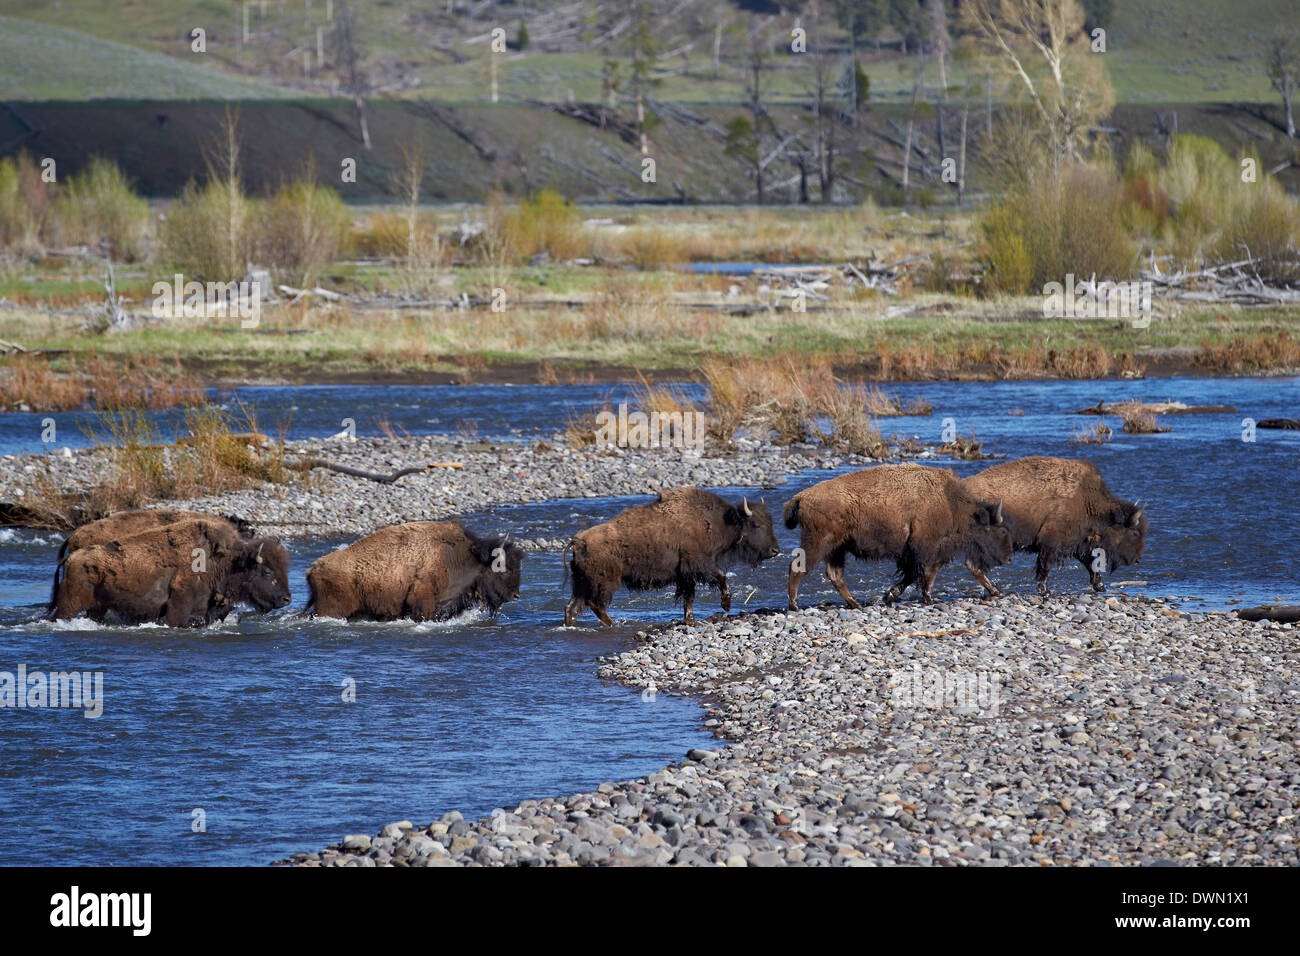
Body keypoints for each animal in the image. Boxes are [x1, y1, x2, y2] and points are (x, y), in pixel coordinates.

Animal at [51, 517, 291, 626]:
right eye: (267, 572)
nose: (287, 599)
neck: (225, 563)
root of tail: (71, 558)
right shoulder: (178, 612)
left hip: (97, 608)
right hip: (69, 606)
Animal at [564, 487, 780, 626]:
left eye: (770, 522)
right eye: (756, 524)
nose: (775, 551)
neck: (718, 521)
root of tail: (579, 541)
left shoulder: (686, 575)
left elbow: (689, 598)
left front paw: (690, 619)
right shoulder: (698, 564)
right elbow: (720, 576)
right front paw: (726, 605)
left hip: (581, 584)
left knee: (572, 607)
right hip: (605, 582)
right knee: (596, 604)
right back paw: (612, 624)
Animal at [784, 464, 1012, 608]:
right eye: (999, 530)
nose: (1008, 558)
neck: (948, 501)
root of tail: (801, 496)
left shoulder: (923, 551)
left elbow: (917, 573)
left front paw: (890, 595)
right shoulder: (924, 547)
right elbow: (924, 573)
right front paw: (927, 598)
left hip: (836, 549)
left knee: (835, 575)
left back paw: (855, 604)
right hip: (818, 543)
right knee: (798, 567)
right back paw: (794, 605)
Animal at [961, 456, 1147, 596]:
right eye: (1134, 533)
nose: (1137, 559)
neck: (1087, 501)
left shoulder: (1079, 543)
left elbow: (1091, 563)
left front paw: (1100, 586)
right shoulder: (1052, 542)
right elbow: (1045, 565)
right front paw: (1044, 590)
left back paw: (995, 590)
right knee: (973, 564)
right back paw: (996, 590)